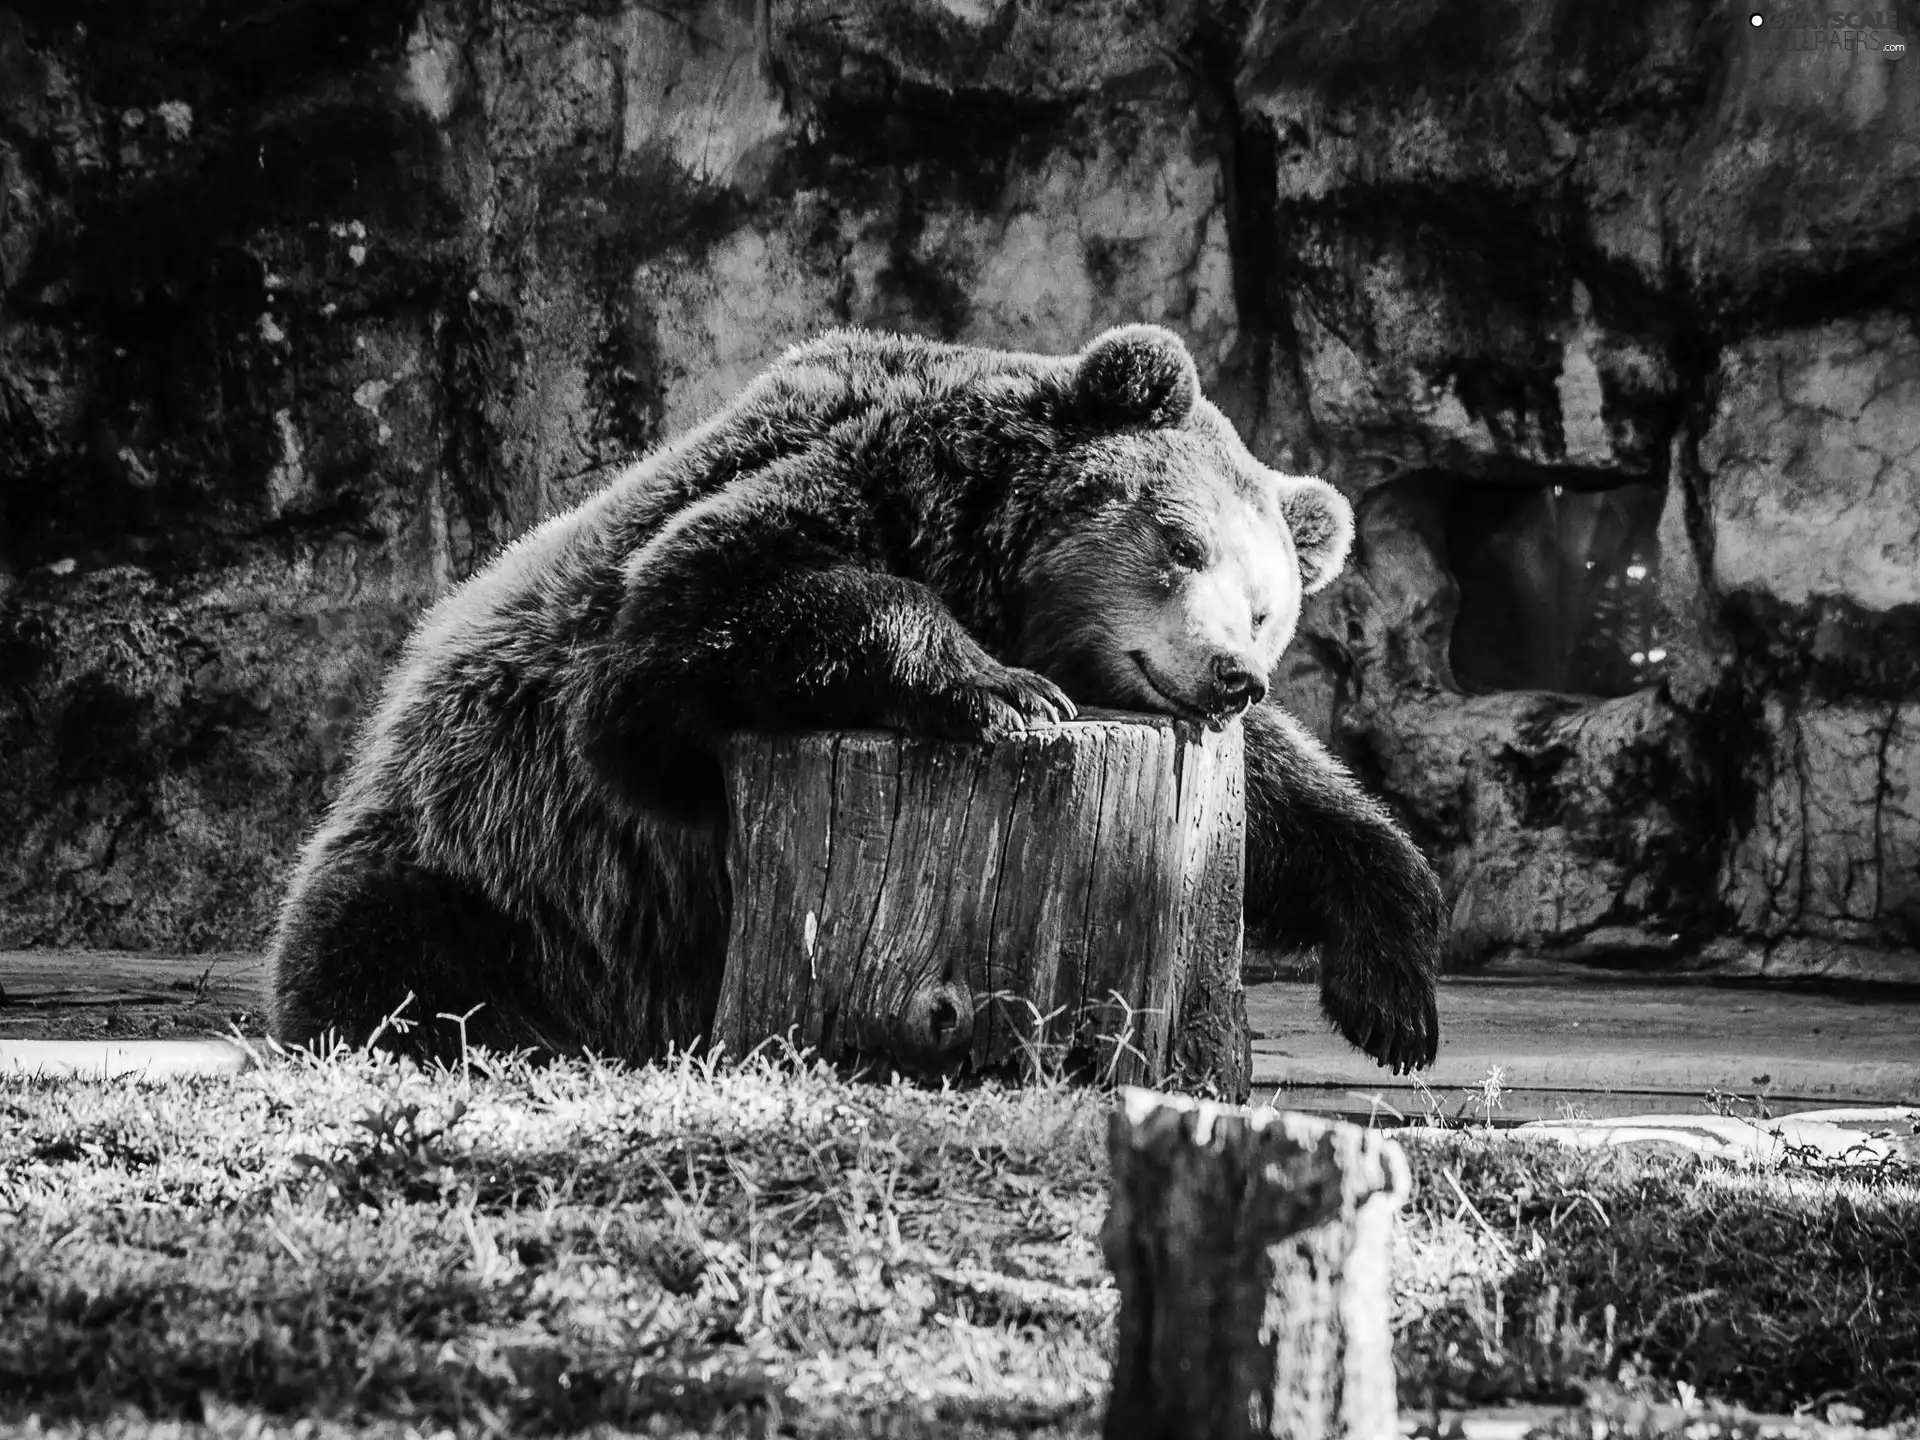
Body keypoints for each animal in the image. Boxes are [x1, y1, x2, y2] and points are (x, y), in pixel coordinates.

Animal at [266, 320, 1443, 1075]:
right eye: (1183, 543)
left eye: (1267, 607)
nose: (1234, 676)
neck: (989, 556)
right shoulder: (807, 506)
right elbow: (686, 634)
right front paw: (1004, 692)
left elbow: (1293, 807)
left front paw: (1393, 1000)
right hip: (491, 870)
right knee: (391, 957)